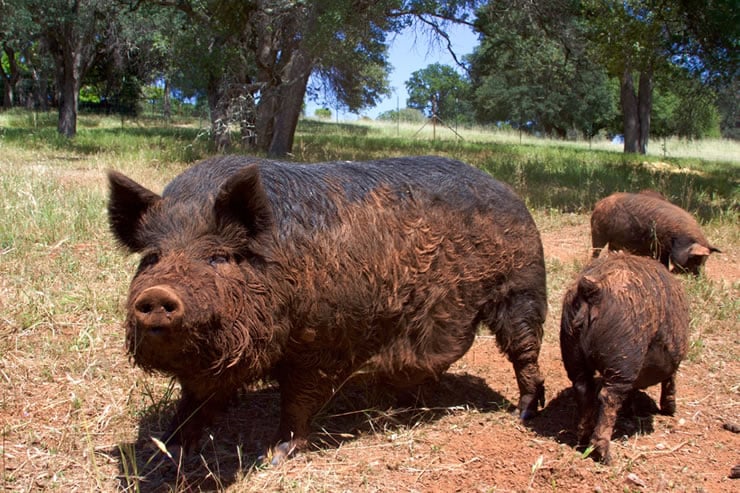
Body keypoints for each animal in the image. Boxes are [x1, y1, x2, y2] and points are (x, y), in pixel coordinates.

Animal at [108, 156, 548, 464]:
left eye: (218, 257)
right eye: (152, 257)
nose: (157, 296)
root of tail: (512, 194)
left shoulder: (321, 343)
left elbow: (297, 401)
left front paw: (275, 457)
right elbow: (195, 400)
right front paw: (169, 447)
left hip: (522, 288)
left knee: (525, 352)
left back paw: (523, 413)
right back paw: (407, 402)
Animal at [556, 252, 692, 464]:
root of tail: (593, 290)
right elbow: (670, 382)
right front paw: (670, 410)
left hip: (571, 345)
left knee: (583, 387)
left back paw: (583, 439)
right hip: (624, 356)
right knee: (609, 397)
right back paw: (605, 456)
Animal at [592, 191, 720, 274]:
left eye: (704, 261)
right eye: (695, 259)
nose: (698, 277)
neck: (679, 239)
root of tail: (599, 203)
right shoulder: (660, 247)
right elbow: (663, 263)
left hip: (614, 241)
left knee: (610, 251)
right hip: (598, 234)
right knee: (596, 251)